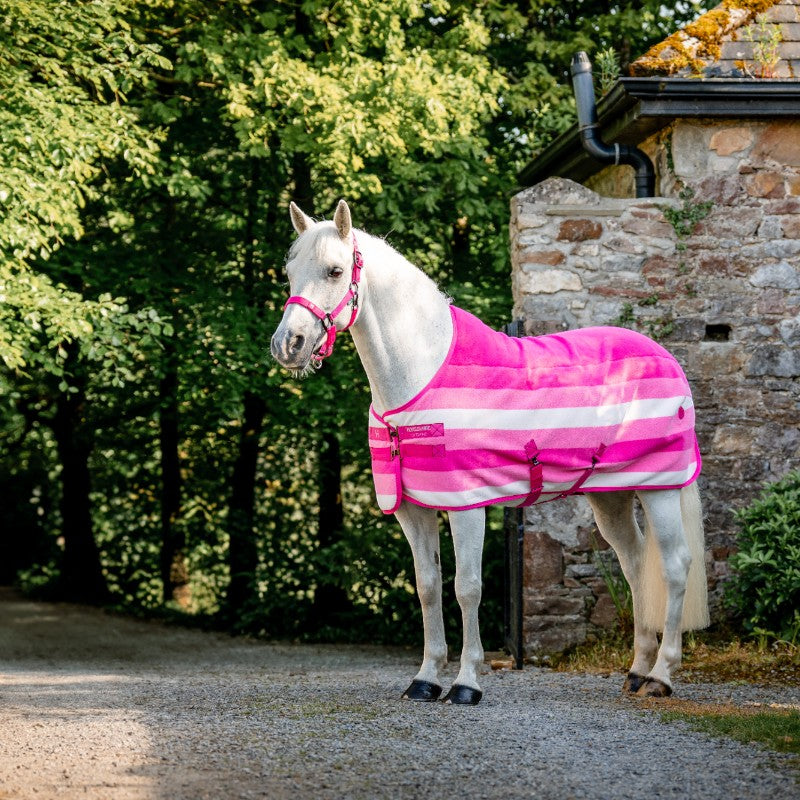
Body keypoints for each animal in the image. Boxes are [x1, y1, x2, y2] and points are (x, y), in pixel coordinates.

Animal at [271, 199, 710, 705]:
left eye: (335, 270)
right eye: (290, 271)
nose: (287, 345)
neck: (420, 375)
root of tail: (666, 357)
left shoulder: (467, 505)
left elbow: (467, 588)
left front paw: (466, 683)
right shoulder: (413, 509)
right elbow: (427, 586)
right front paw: (425, 679)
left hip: (660, 488)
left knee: (674, 566)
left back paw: (661, 676)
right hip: (611, 496)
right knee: (635, 563)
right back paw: (636, 670)